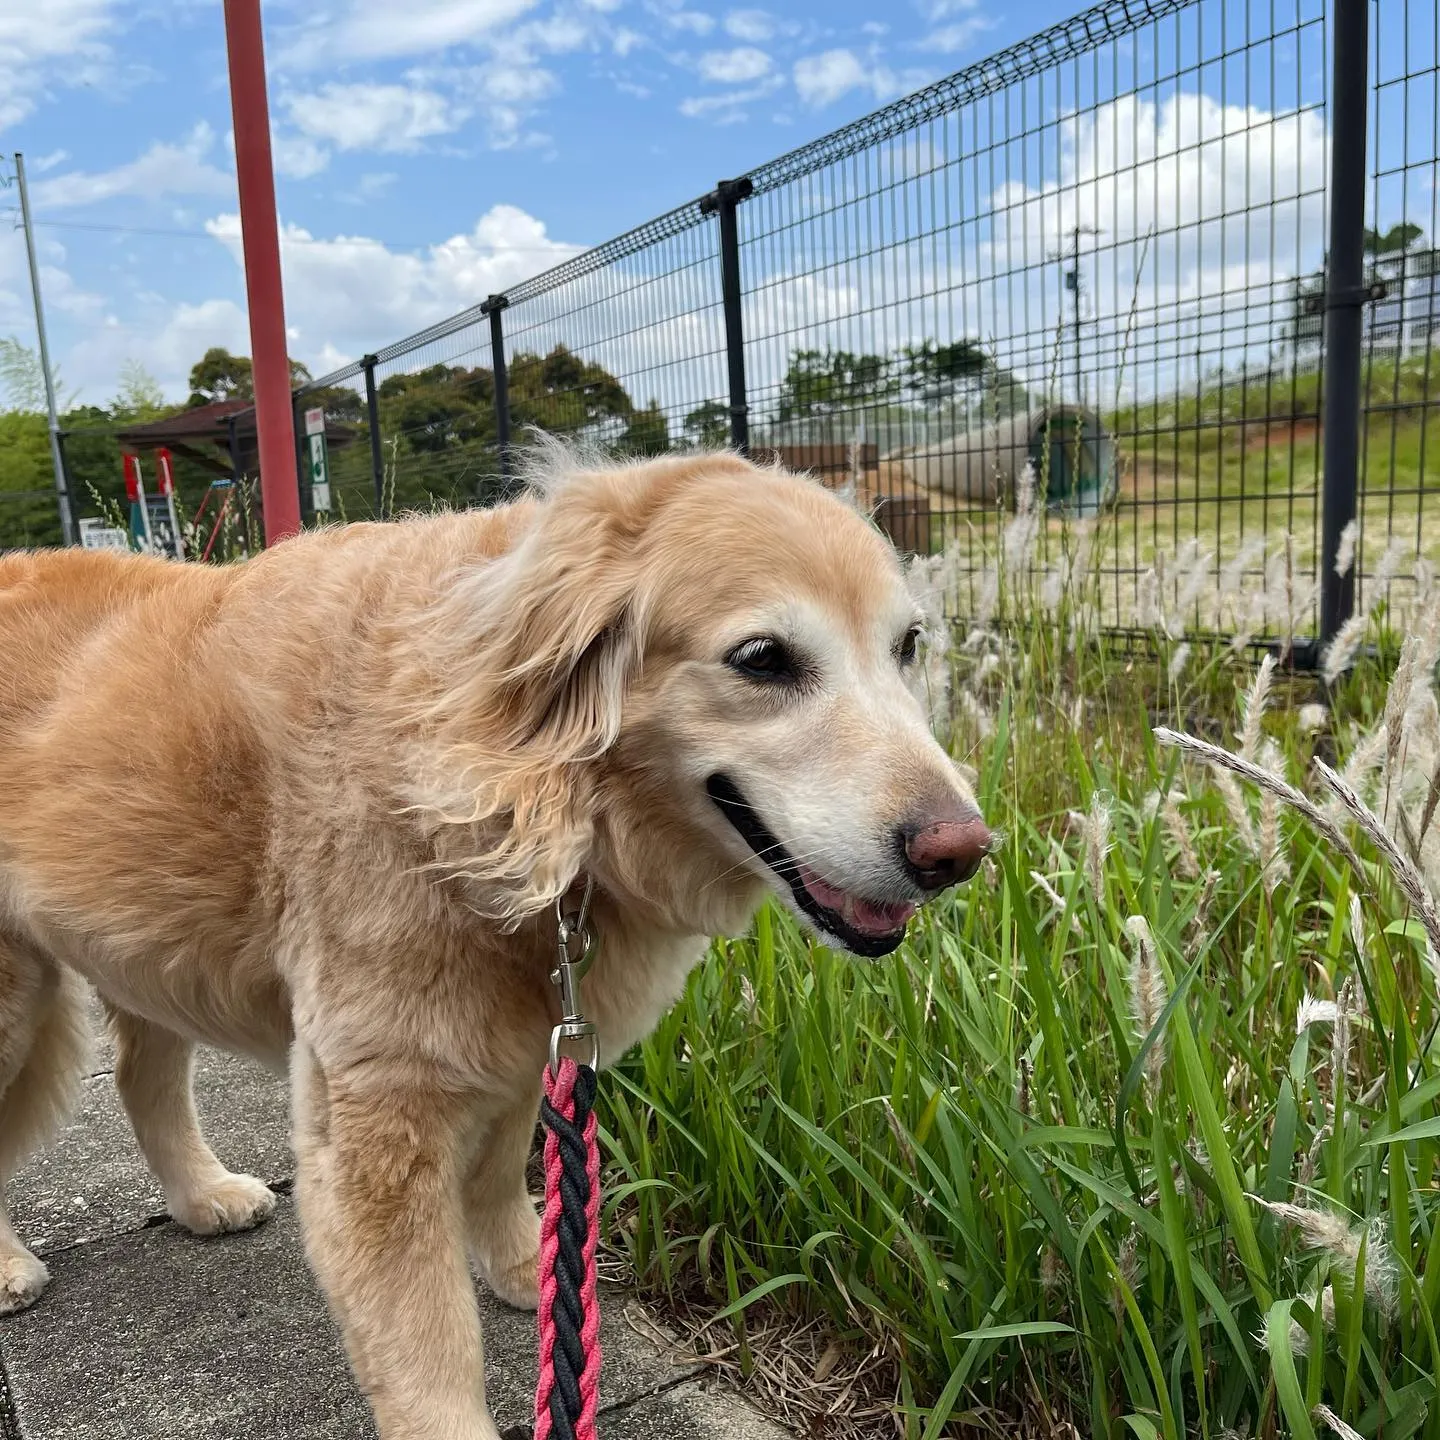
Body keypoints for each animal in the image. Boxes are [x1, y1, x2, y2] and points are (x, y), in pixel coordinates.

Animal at [0, 449, 990, 1440]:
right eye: (762, 659)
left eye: (908, 645)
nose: (963, 853)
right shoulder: (379, 1112)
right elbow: (425, 1338)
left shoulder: (532, 1038)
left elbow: (504, 1172)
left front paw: (540, 1279)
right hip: (21, 999)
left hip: (144, 952)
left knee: (142, 1079)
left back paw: (203, 1196)